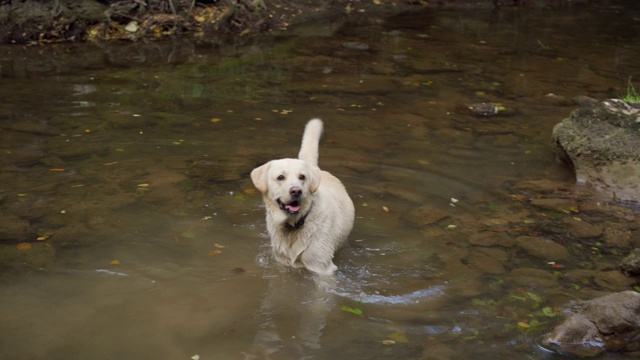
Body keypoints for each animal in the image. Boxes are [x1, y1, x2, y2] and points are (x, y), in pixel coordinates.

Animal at [250, 119, 356, 276]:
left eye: (302, 177)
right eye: (280, 177)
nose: (296, 191)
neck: (294, 224)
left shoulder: (322, 267)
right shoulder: (281, 261)